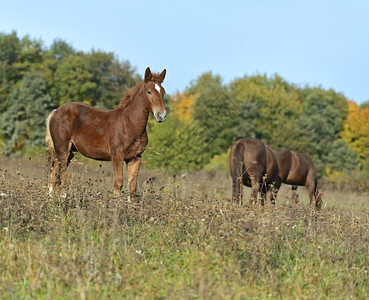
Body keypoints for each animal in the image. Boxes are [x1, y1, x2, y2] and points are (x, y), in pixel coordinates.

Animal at [46, 67, 167, 199]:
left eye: (163, 92)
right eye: (149, 92)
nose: (161, 115)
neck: (130, 124)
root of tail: (55, 112)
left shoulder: (135, 157)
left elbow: (132, 186)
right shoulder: (117, 155)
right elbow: (118, 183)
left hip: (70, 151)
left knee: (54, 172)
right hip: (63, 148)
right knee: (60, 172)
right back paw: (62, 198)